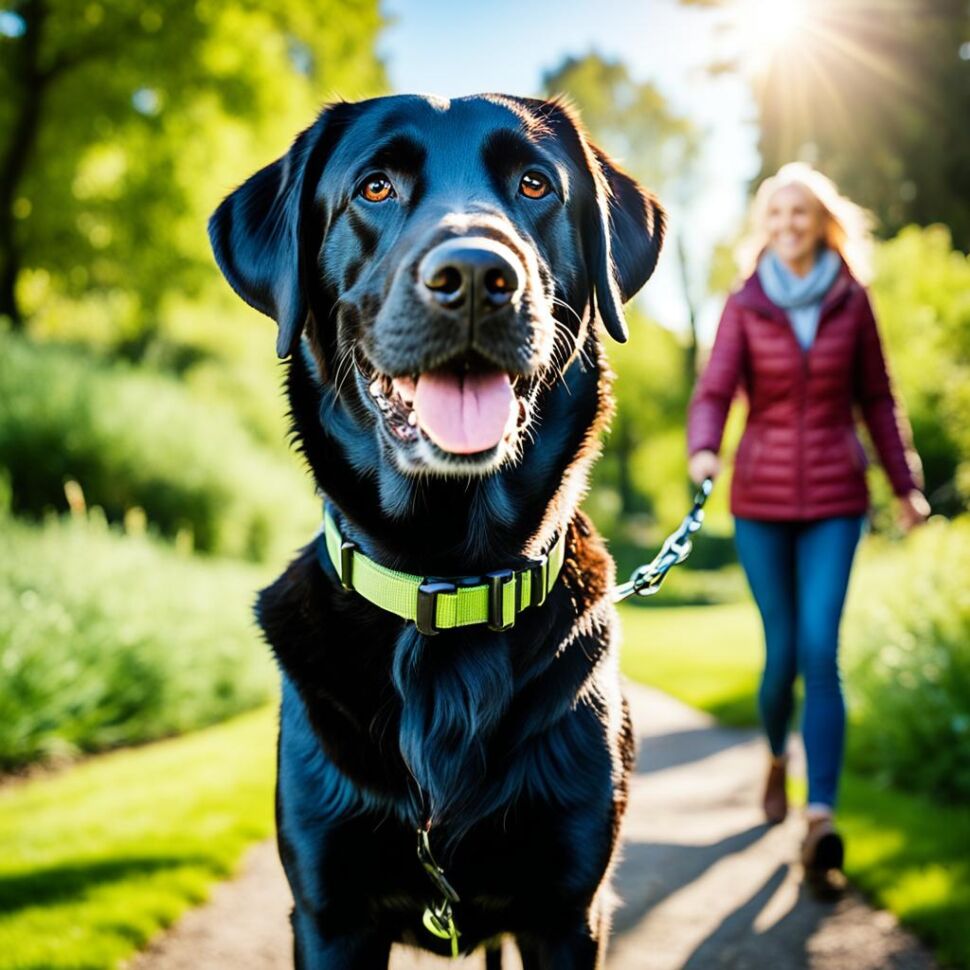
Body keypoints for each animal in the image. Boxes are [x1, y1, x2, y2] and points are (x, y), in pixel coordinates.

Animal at [208, 92, 660, 968]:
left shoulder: (568, 911)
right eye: (375, 188)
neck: (451, 580)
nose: (479, 276)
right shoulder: (328, 914)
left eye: (535, 184)